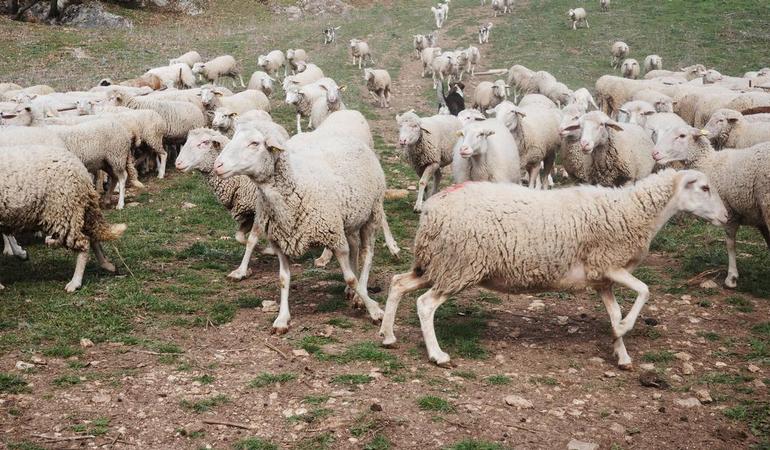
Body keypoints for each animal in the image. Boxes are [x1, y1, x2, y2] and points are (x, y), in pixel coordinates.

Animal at [0, 145, 128, 292]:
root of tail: (80, 168)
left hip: (63, 209)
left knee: (84, 242)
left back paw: (75, 282)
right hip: (73, 209)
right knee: (92, 237)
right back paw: (107, 264)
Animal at [212, 129, 390, 333]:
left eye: (254, 143)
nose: (217, 165)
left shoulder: (334, 237)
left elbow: (350, 278)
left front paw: (374, 309)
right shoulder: (282, 241)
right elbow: (283, 279)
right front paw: (282, 319)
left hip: (372, 213)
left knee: (367, 254)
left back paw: (361, 291)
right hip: (349, 220)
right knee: (354, 248)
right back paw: (351, 291)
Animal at [379, 168, 728, 367]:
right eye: (705, 188)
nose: (726, 217)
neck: (636, 211)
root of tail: (433, 208)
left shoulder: (602, 278)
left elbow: (615, 311)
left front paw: (621, 351)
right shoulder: (608, 263)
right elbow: (645, 290)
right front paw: (624, 331)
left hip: (437, 264)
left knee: (398, 283)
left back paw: (387, 335)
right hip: (460, 264)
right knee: (425, 305)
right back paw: (437, 355)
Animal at [653, 127, 770, 288]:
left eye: (682, 135)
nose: (654, 153)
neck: (709, 163)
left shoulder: (729, 212)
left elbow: (730, 244)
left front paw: (731, 278)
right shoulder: (759, 219)